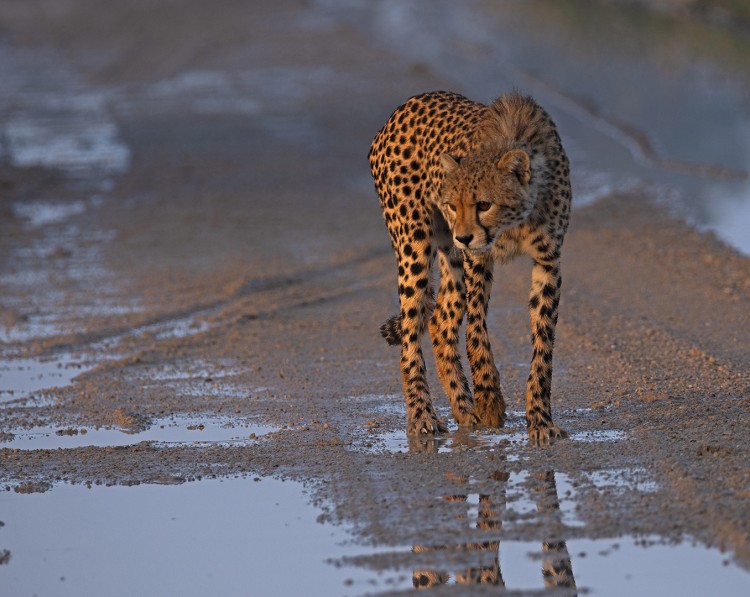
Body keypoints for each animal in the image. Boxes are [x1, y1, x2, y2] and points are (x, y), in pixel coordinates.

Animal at [368, 91, 572, 444]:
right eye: (453, 205)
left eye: (484, 204)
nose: (463, 235)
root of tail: (403, 108)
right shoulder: (478, 258)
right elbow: (476, 332)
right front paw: (490, 398)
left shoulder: (548, 262)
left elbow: (543, 348)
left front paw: (540, 420)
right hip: (415, 244)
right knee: (411, 334)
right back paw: (423, 415)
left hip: (449, 256)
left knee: (439, 321)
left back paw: (465, 410)